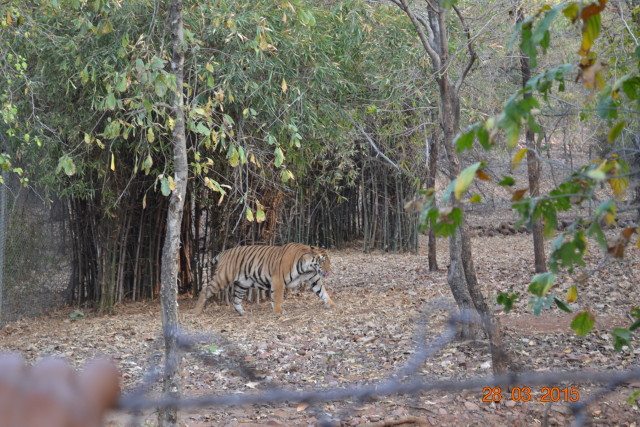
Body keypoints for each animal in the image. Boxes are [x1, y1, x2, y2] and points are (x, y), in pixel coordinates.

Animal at [193, 243, 334, 316]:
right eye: (323, 261)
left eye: (329, 261)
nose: (328, 271)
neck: (307, 267)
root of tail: (224, 252)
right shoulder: (278, 280)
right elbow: (277, 297)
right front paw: (278, 311)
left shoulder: (313, 277)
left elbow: (322, 291)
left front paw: (331, 303)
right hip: (223, 277)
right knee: (205, 289)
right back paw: (197, 311)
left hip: (242, 283)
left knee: (236, 299)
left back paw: (242, 313)